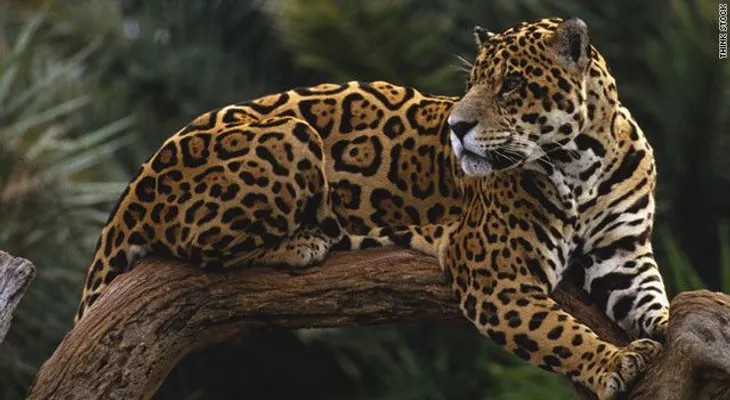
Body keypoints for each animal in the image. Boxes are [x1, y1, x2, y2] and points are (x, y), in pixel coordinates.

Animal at [75, 17, 670, 400]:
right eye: (471, 84)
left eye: (512, 86)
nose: (456, 127)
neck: (581, 163)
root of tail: (139, 176)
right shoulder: (494, 273)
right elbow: (556, 332)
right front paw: (611, 363)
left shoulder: (622, 253)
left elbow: (652, 299)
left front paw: (666, 328)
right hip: (290, 135)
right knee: (202, 246)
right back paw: (305, 241)